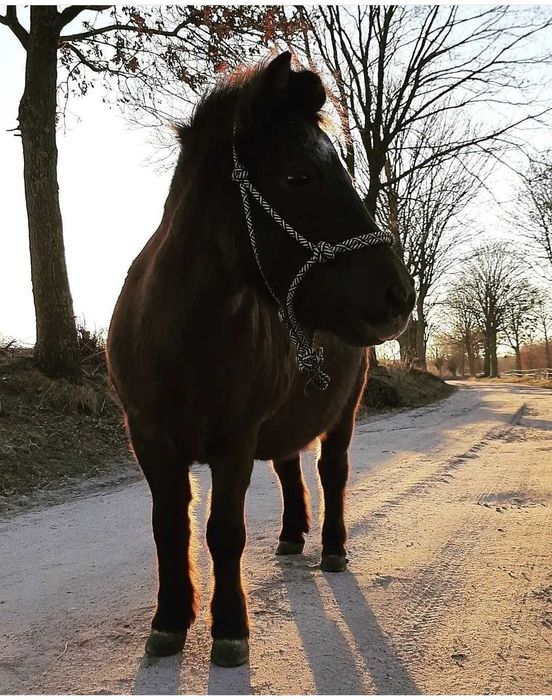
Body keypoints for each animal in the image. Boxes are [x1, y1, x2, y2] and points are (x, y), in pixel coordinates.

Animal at [106, 53, 414, 668]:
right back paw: (293, 535)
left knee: (332, 471)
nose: (399, 294)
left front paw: (229, 629)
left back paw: (332, 548)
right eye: (298, 175)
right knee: (290, 465)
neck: (184, 343)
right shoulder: (149, 438)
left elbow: (224, 532)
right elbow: (168, 528)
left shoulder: (235, 440)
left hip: (344, 412)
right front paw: (169, 621)